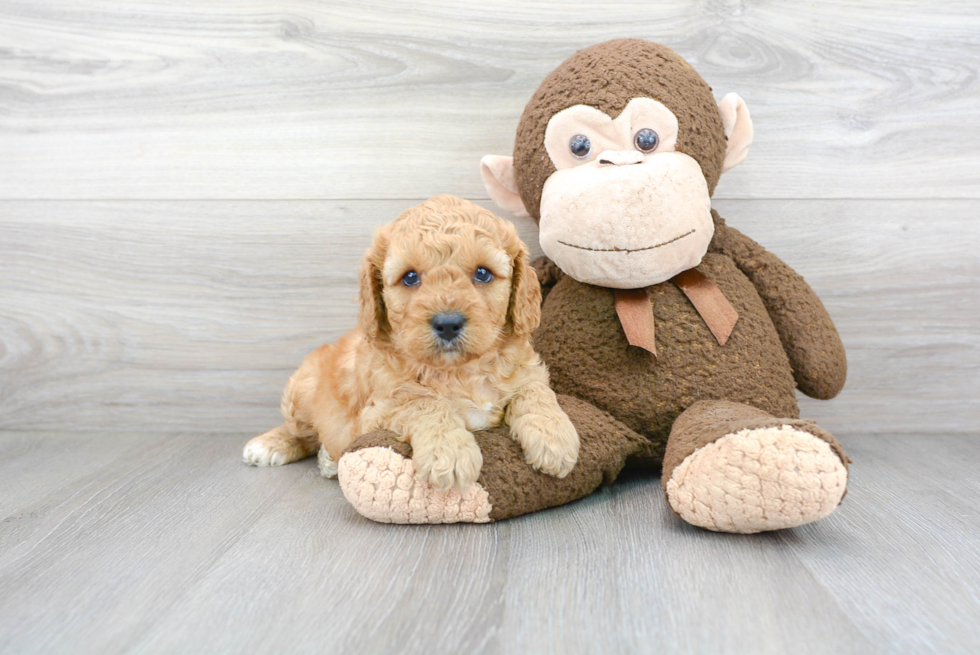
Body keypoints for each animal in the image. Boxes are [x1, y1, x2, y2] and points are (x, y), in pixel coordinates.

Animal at [244, 195, 580, 492]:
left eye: (483, 273)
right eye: (409, 278)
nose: (448, 323)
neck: (460, 371)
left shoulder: (527, 371)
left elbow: (536, 392)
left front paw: (554, 438)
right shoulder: (377, 412)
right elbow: (424, 404)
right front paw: (450, 455)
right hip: (300, 392)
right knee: (301, 433)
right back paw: (272, 446)